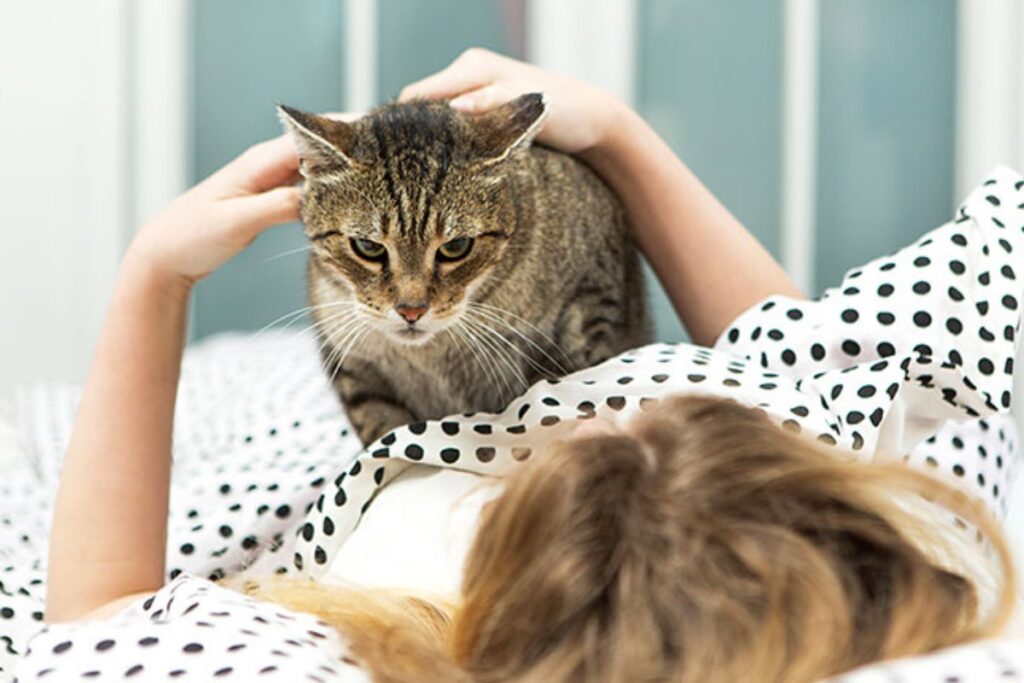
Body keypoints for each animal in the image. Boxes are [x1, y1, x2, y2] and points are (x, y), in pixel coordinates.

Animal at [276, 93, 651, 446]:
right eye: (368, 247)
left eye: (456, 247)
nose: (411, 311)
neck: (432, 353)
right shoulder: (355, 368)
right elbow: (386, 433)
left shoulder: (592, 305)